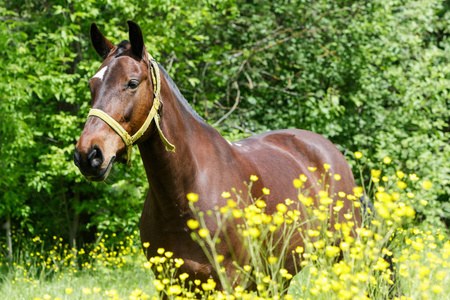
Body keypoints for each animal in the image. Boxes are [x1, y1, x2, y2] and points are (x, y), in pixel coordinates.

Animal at [74, 20, 362, 296]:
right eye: (92, 86)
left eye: (132, 83)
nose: (88, 155)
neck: (185, 195)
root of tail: (329, 150)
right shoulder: (169, 284)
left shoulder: (228, 283)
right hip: (278, 276)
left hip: (341, 257)